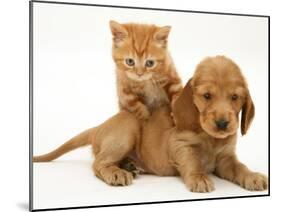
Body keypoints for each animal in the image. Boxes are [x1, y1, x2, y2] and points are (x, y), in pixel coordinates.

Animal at [33, 55, 266, 193]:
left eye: (235, 97)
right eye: (207, 96)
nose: (223, 123)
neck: (210, 138)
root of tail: (99, 128)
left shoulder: (226, 158)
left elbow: (240, 167)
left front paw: (253, 176)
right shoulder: (180, 145)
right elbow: (192, 161)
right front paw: (199, 177)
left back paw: (128, 166)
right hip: (127, 130)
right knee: (98, 163)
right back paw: (117, 172)